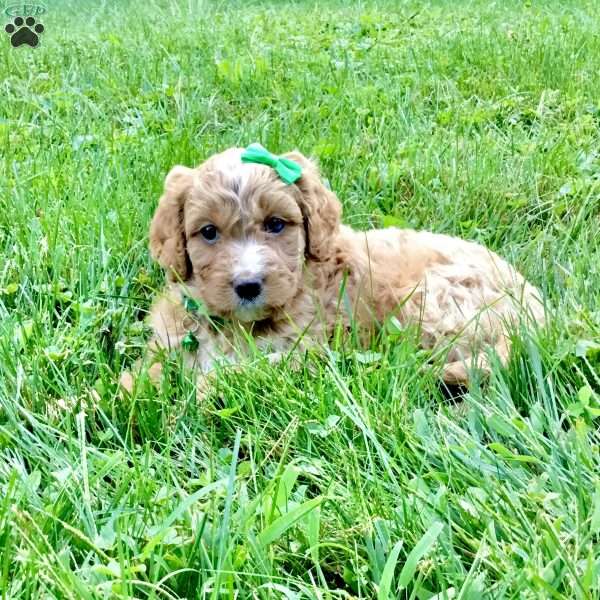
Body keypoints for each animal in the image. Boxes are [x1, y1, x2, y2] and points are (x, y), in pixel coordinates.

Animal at [144, 145, 544, 390]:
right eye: (209, 232)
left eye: (276, 224)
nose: (248, 285)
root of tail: (539, 313)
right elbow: (145, 373)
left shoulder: (309, 349)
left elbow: (245, 370)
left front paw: (200, 393)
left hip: (432, 297)